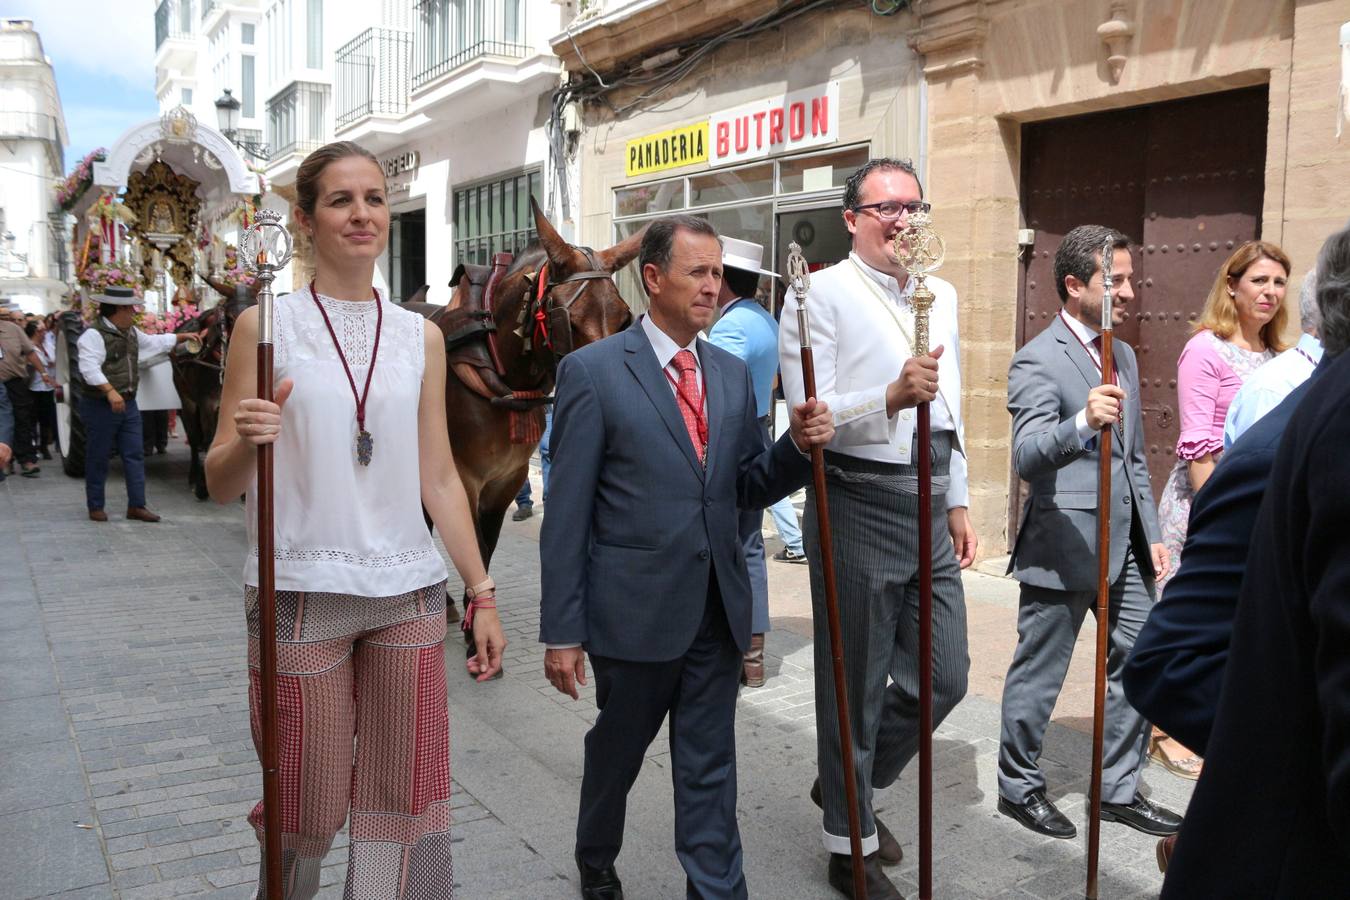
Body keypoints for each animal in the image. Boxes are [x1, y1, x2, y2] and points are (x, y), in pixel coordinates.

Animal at [407, 201, 645, 639]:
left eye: (623, 318)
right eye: (567, 320)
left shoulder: (508, 477)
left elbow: (486, 544)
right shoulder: (463, 477)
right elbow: (474, 543)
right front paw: (477, 626)